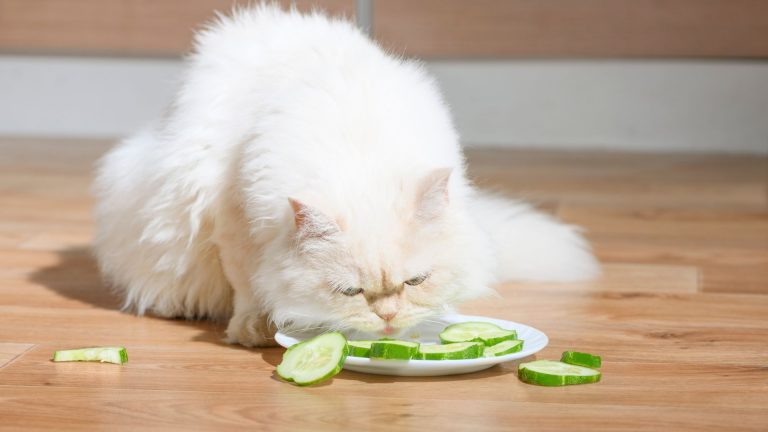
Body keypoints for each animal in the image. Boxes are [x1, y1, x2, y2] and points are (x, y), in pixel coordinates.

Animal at [93, 4, 600, 348]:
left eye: (415, 282)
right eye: (351, 292)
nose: (389, 318)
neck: (359, 152)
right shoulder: (231, 219)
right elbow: (248, 284)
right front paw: (254, 328)